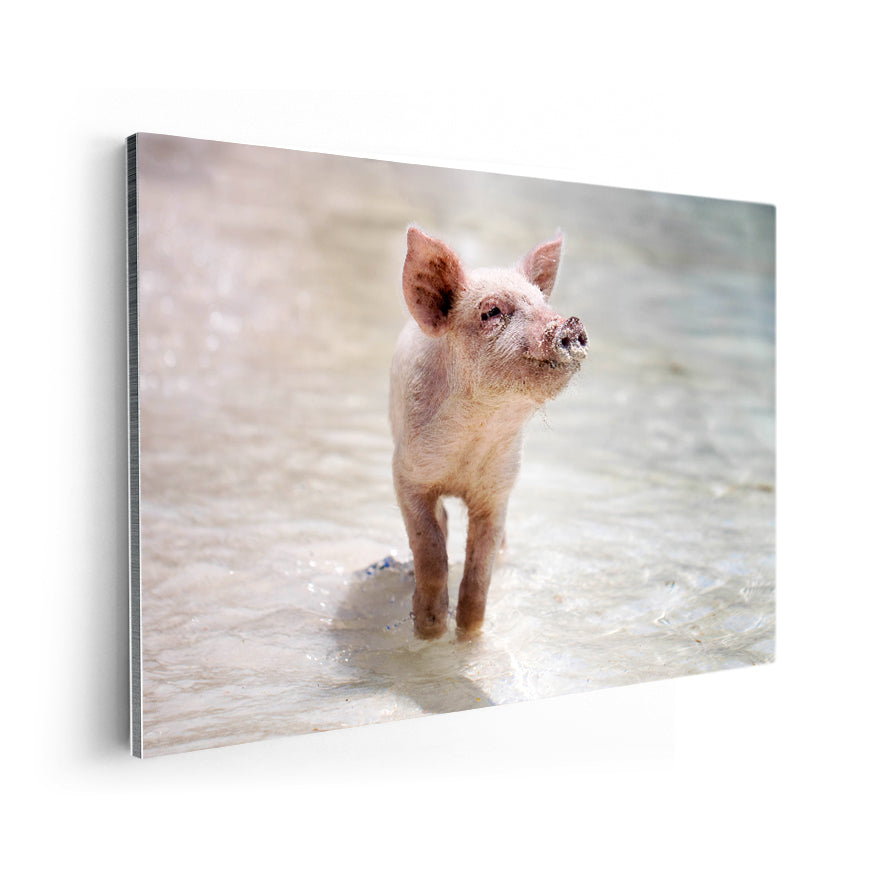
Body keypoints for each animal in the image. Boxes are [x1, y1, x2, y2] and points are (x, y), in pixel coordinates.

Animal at [390, 226, 588, 639]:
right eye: (491, 312)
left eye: (541, 302)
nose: (571, 324)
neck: (475, 435)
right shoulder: (406, 474)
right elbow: (430, 549)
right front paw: (430, 630)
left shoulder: (498, 489)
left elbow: (480, 569)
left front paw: (468, 635)